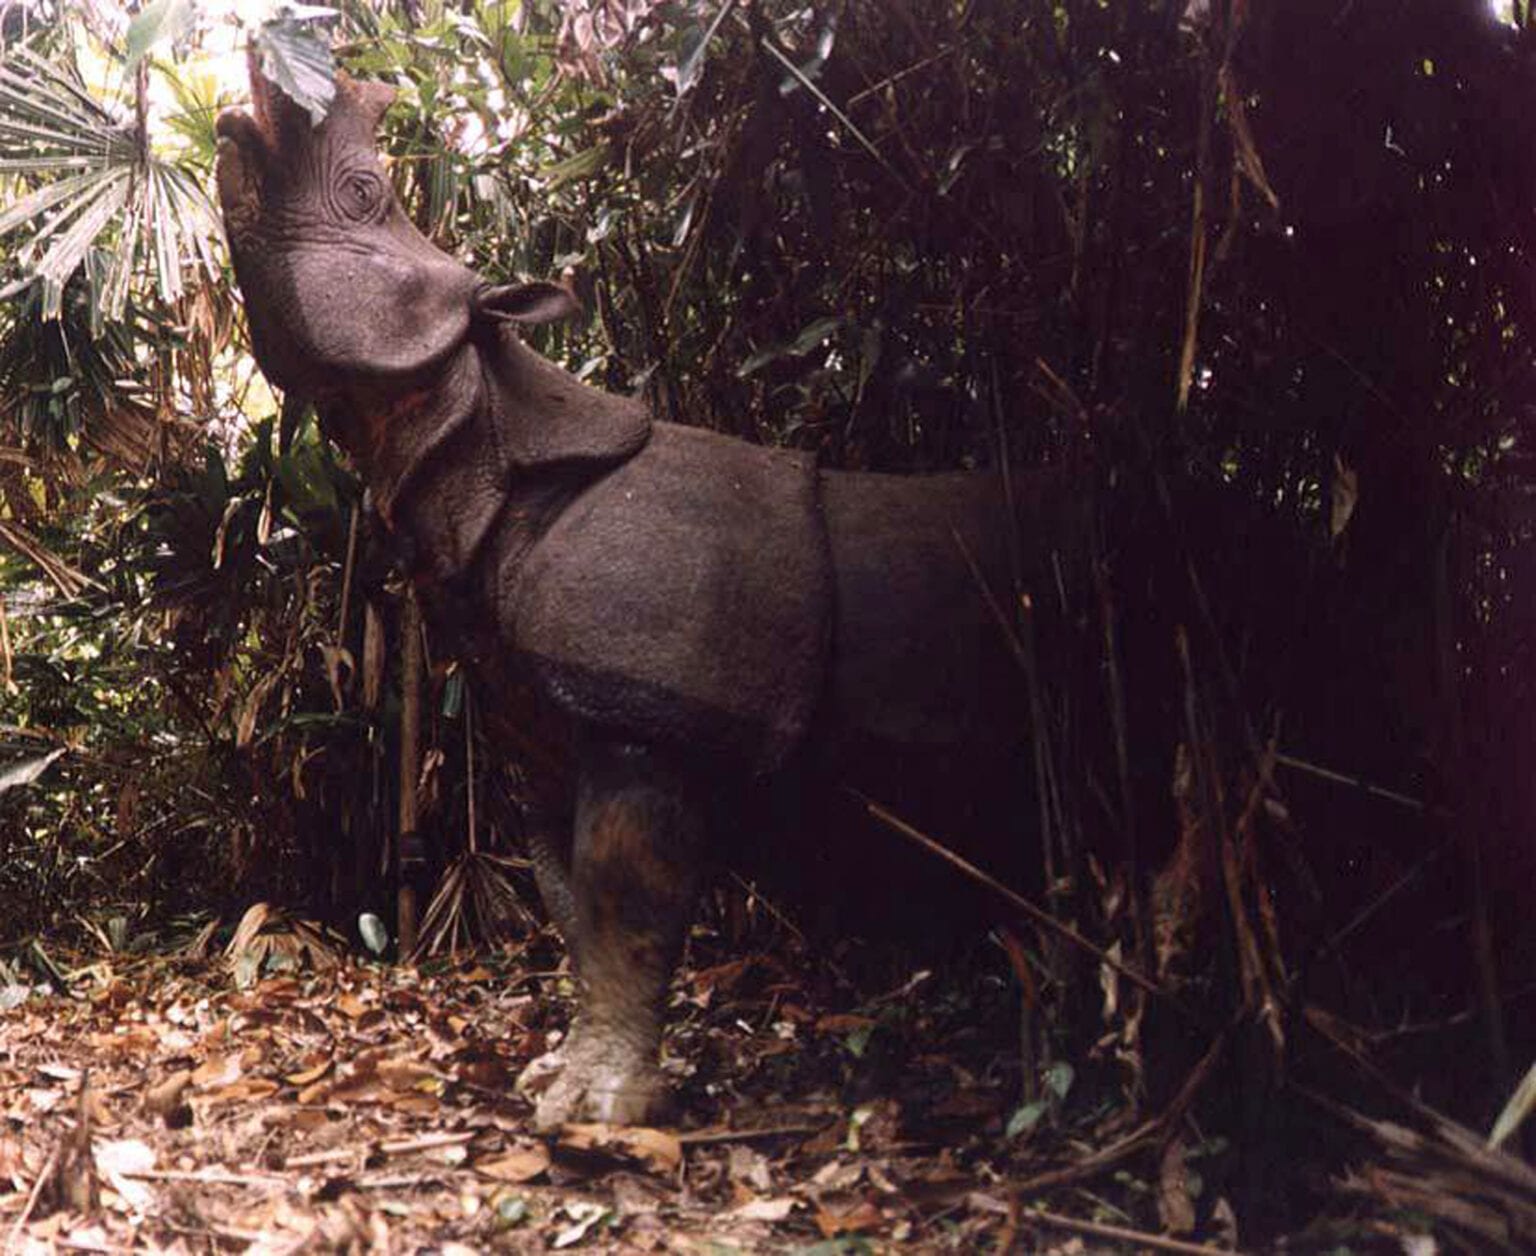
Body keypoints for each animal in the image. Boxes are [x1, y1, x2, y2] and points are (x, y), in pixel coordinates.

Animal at [216, 64, 1063, 1129]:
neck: (474, 434)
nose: (236, 111)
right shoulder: (546, 721)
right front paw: (564, 1079)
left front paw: (599, 1111)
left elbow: (627, 905)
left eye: (365, 194)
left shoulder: (650, 709)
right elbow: (574, 905)